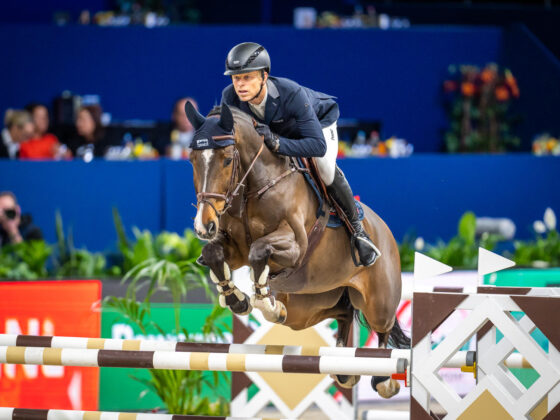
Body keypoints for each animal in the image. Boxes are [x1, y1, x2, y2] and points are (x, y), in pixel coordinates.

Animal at [186, 101, 410, 398]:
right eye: (192, 159)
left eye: (226, 159)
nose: (204, 226)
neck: (255, 186)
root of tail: (384, 230)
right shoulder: (234, 249)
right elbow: (215, 255)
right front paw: (239, 300)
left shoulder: (295, 248)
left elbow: (259, 250)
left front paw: (267, 303)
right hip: (310, 305)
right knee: (343, 313)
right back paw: (343, 369)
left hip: (378, 301)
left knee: (382, 328)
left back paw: (384, 380)